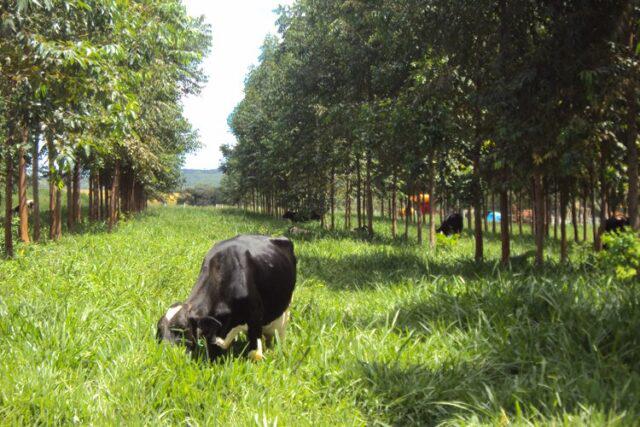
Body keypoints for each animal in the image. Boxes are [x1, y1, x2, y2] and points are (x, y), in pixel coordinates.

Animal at [156, 236, 296, 362]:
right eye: (159, 332)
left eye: (180, 329)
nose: (165, 355)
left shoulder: (255, 318)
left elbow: (255, 354)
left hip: (285, 310)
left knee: (280, 332)